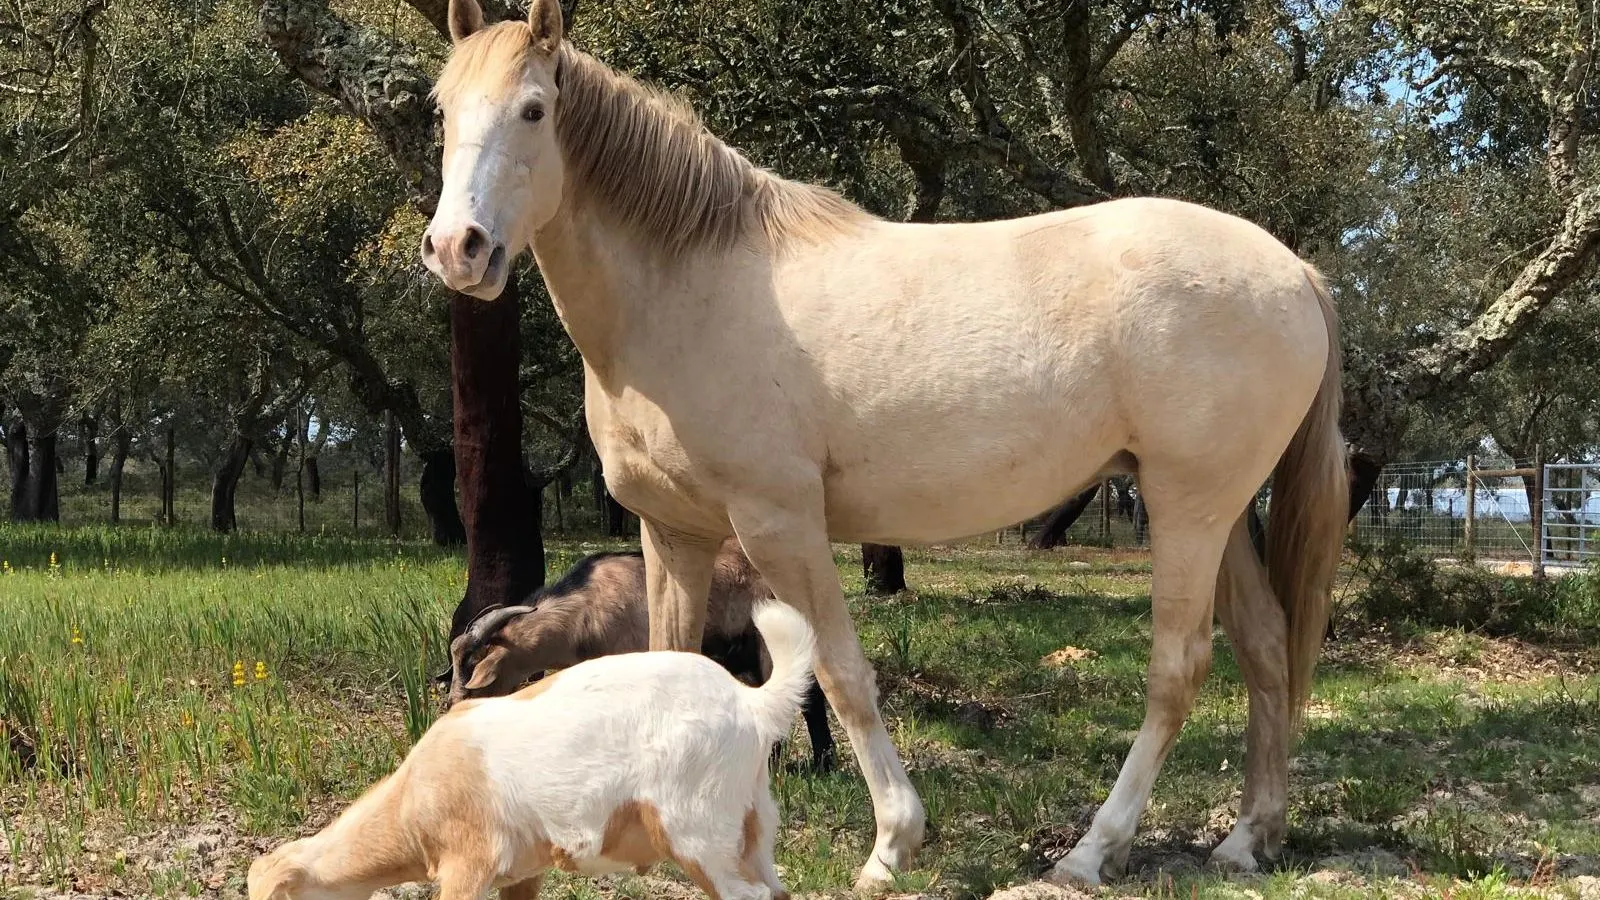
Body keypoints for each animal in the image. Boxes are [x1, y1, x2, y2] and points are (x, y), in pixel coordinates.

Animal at [248, 601, 812, 900]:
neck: (411, 803)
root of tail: (751, 702)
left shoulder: (468, 863)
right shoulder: (523, 871)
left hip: (698, 831)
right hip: (753, 827)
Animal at [448, 539, 837, 772]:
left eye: (477, 681)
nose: (456, 714)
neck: (587, 608)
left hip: (766, 644)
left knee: (808, 694)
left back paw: (819, 763)